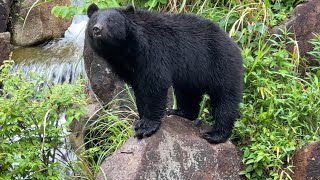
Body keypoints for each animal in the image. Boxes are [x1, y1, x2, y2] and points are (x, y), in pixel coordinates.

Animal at [85, 3, 242, 143]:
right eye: (94, 19)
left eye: (110, 20)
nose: (96, 29)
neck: (126, 50)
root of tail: (233, 42)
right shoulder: (132, 69)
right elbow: (140, 91)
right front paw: (141, 119)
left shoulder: (154, 52)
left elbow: (155, 85)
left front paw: (146, 127)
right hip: (191, 75)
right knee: (186, 94)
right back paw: (180, 112)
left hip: (220, 65)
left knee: (225, 100)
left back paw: (216, 134)